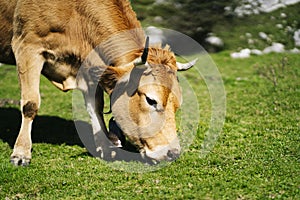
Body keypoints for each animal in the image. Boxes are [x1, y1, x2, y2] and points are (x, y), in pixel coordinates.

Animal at [0, 0, 195, 166]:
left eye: (177, 105)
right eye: (150, 100)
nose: (173, 153)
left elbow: (95, 106)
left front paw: (106, 146)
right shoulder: (27, 46)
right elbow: (30, 103)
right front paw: (21, 153)